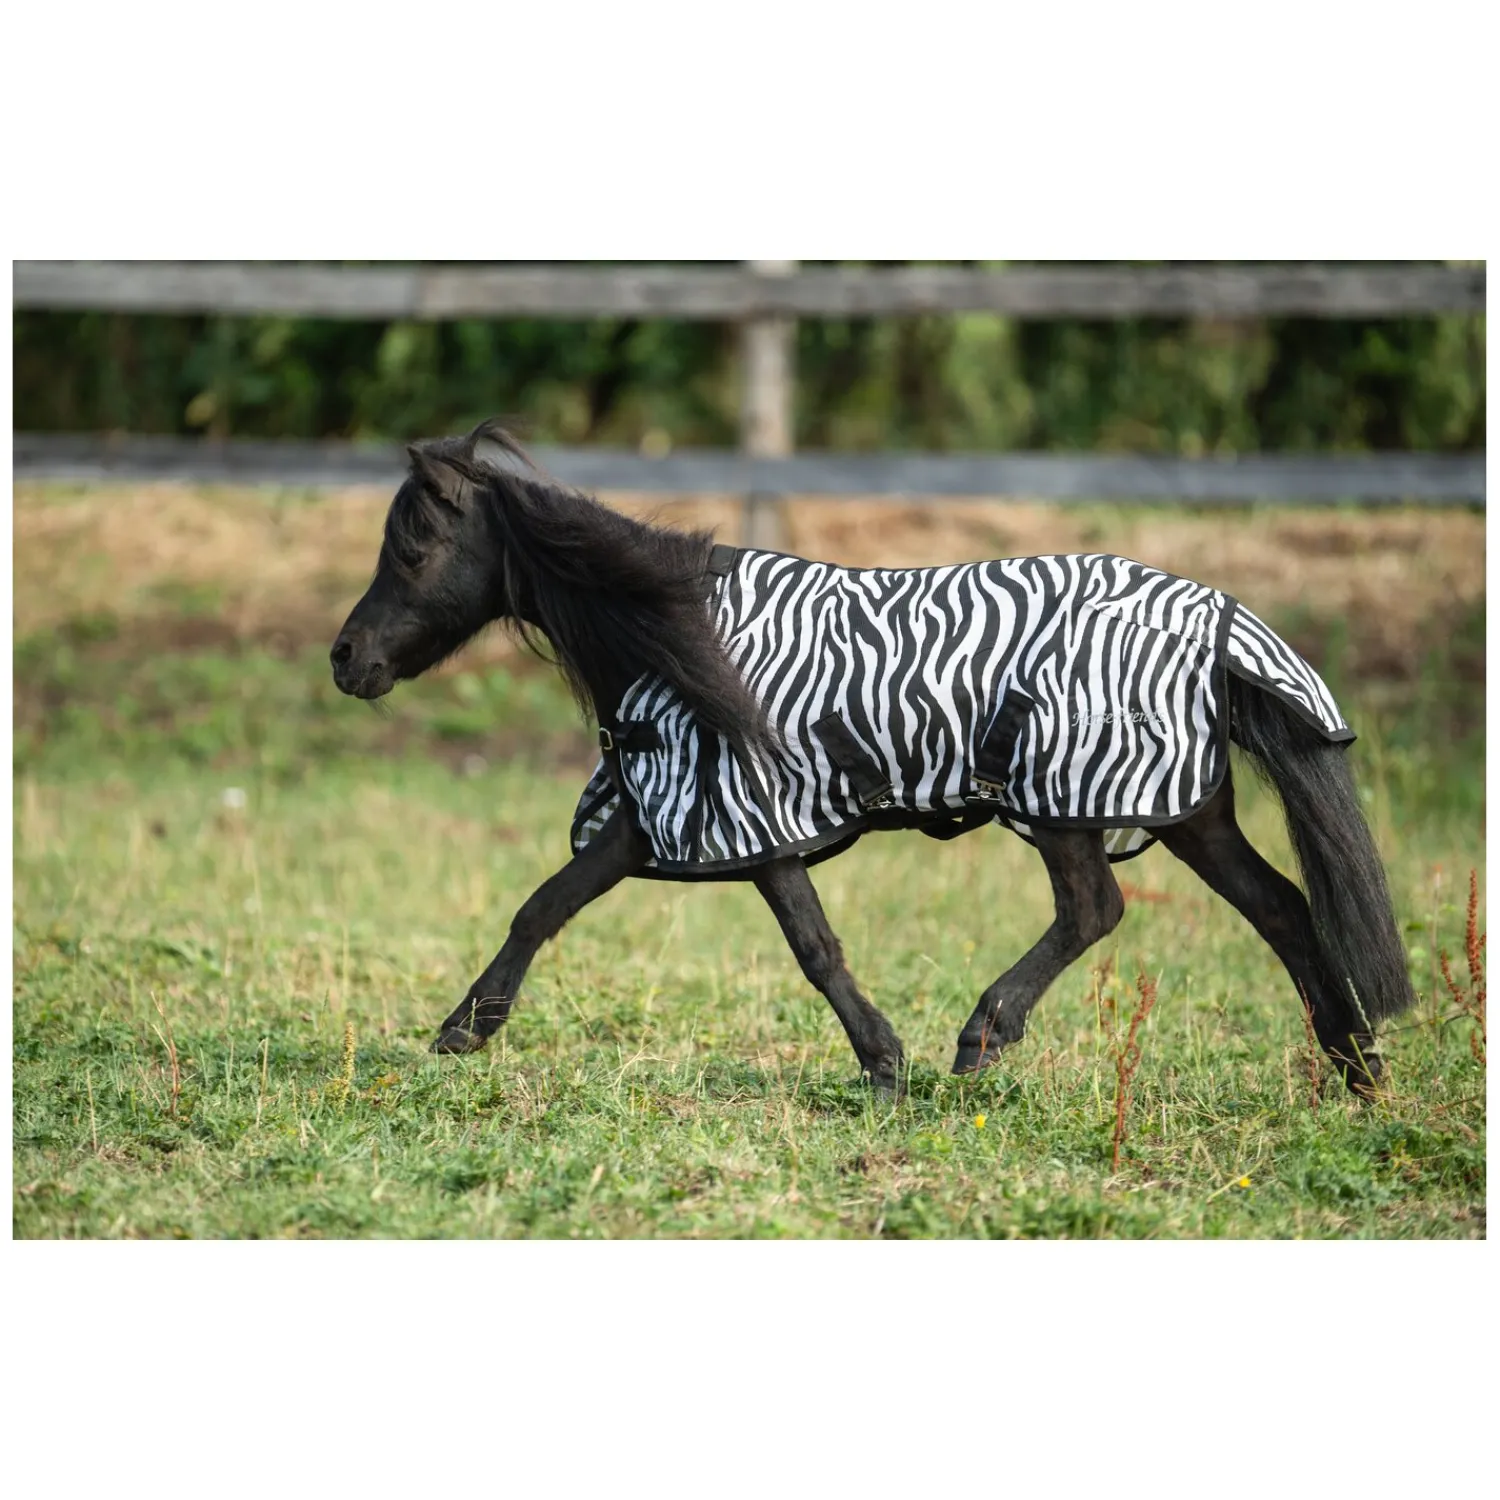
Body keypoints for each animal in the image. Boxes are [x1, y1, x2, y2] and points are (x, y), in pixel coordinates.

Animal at [331, 419, 1415, 1099]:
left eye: (414, 547)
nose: (347, 659)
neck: (676, 638)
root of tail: (1214, 618)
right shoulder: (662, 816)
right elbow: (546, 905)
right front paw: (465, 1029)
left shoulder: (748, 815)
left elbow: (814, 949)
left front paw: (886, 1064)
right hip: (1187, 811)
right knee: (1283, 908)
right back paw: (1357, 1074)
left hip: (1066, 803)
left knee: (1095, 909)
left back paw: (982, 1037)